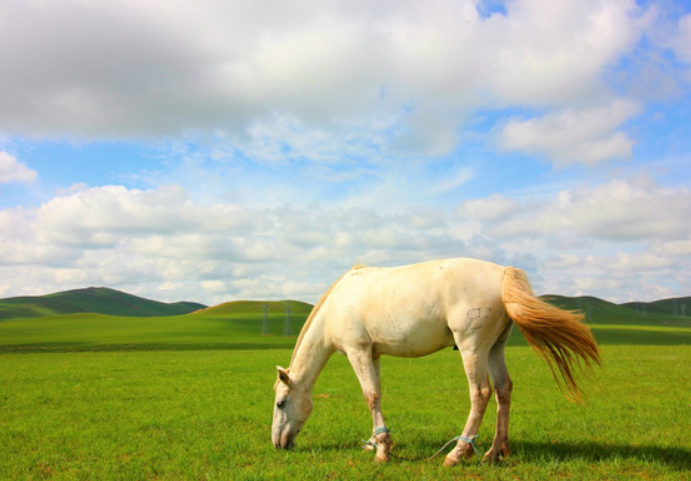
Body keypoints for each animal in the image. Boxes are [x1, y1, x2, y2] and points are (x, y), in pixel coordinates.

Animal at [270, 258, 600, 464]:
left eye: (280, 403)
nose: (277, 444)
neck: (337, 305)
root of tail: (503, 272)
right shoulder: (373, 354)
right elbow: (377, 395)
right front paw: (376, 442)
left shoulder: (358, 351)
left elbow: (370, 396)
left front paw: (381, 452)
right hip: (495, 348)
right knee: (503, 390)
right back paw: (495, 452)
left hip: (472, 348)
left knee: (481, 393)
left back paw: (458, 453)